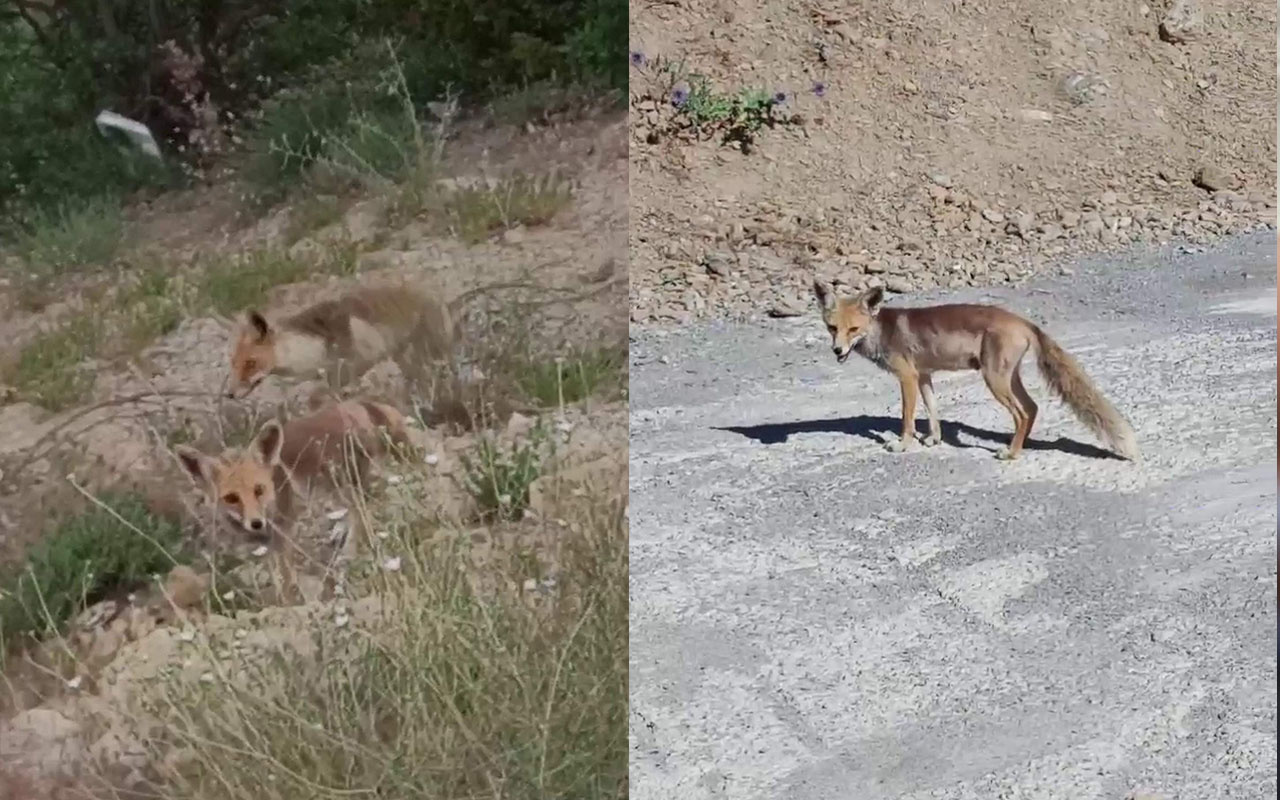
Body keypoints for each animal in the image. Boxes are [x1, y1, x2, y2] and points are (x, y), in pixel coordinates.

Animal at [174, 399, 409, 599]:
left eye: (259, 490)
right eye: (231, 498)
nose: (256, 523)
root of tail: (363, 403)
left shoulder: (285, 534)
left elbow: (287, 581)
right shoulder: (269, 547)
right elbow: (278, 578)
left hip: (354, 485)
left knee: (362, 516)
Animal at [808, 280, 1141, 458]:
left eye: (853, 329)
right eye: (832, 328)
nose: (837, 351)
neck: (882, 331)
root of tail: (1024, 321)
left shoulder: (907, 377)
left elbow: (907, 419)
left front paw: (902, 445)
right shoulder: (924, 375)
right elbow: (933, 412)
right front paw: (934, 440)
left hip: (994, 380)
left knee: (1021, 414)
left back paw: (1011, 454)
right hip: (1007, 378)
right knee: (1032, 408)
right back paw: (1019, 446)